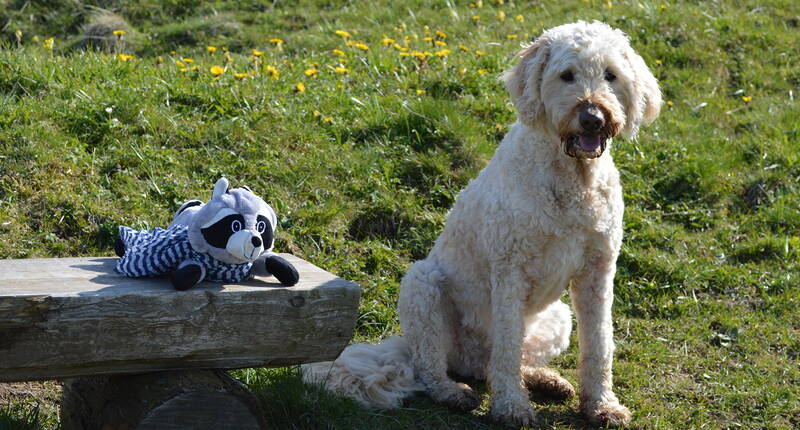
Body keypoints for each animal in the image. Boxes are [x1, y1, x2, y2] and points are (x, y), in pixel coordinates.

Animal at [304, 19, 660, 426]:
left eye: (611, 75)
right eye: (566, 75)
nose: (593, 118)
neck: (570, 179)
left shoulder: (598, 271)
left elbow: (600, 344)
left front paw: (601, 404)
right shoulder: (510, 270)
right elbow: (506, 346)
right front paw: (511, 408)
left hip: (557, 316)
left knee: (502, 363)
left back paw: (545, 380)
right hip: (421, 286)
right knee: (435, 366)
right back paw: (454, 392)